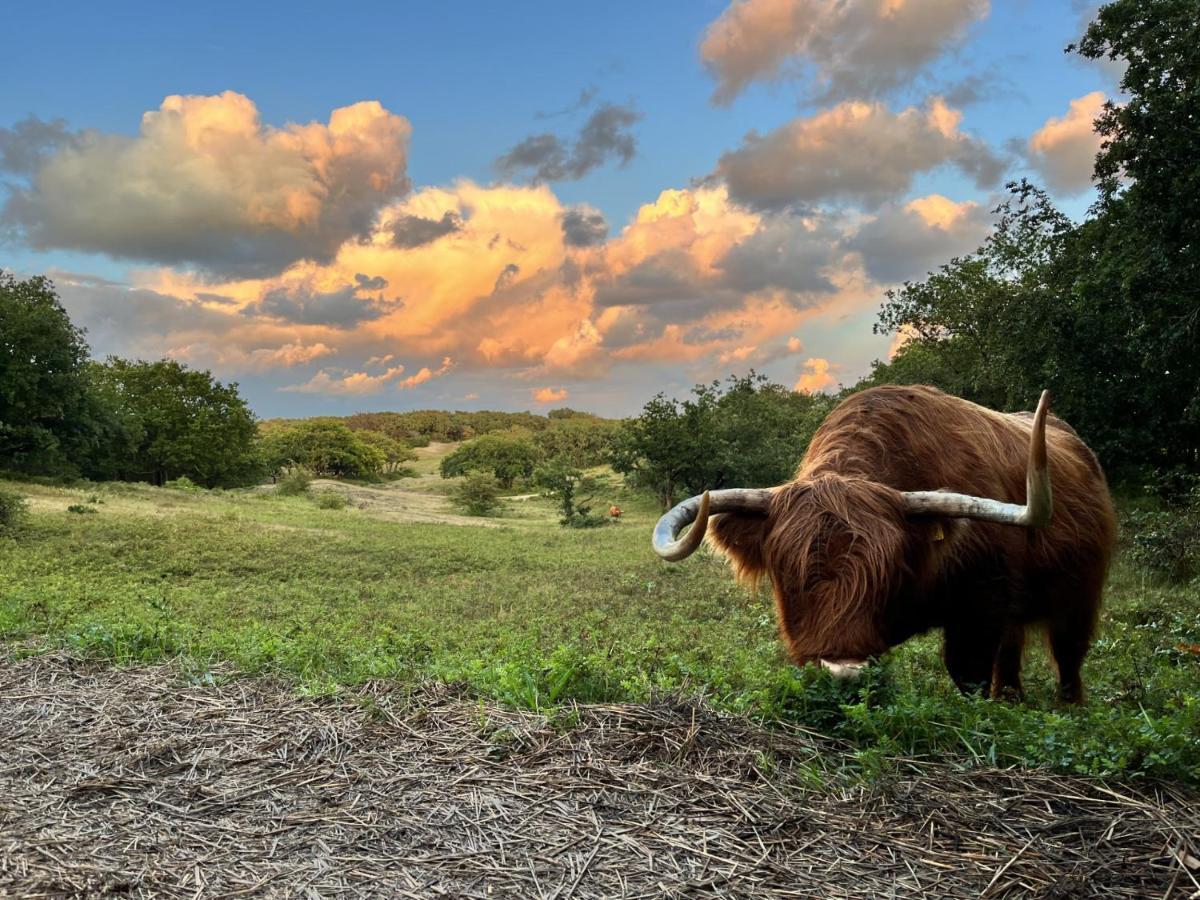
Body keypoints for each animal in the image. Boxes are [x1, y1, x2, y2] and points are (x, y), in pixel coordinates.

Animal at [657, 386, 1113, 705]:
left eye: (889, 570)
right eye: (788, 572)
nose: (842, 672)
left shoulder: (981, 608)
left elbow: (969, 673)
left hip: (1079, 598)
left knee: (1068, 656)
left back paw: (1069, 707)